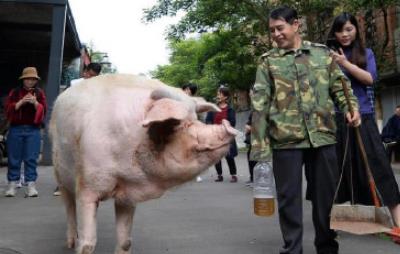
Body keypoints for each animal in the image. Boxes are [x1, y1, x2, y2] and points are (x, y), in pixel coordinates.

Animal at [49, 74, 238, 254]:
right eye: (180, 125)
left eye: (196, 119)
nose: (228, 125)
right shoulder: (87, 185)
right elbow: (88, 244)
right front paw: (80, 246)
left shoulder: (127, 194)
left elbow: (126, 241)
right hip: (59, 173)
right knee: (69, 206)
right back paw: (70, 243)